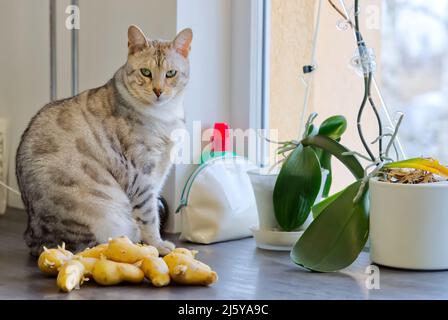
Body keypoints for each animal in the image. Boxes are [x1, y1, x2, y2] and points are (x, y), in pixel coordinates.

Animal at [14, 25, 192, 256]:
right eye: (146, 72)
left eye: (171, 73)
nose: (158, 91)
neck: (166, 115)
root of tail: (33, 235)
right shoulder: (141, 174)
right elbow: (150, 215)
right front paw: (158, 245)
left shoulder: (159, 173)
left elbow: (152, 209)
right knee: (88, 247)